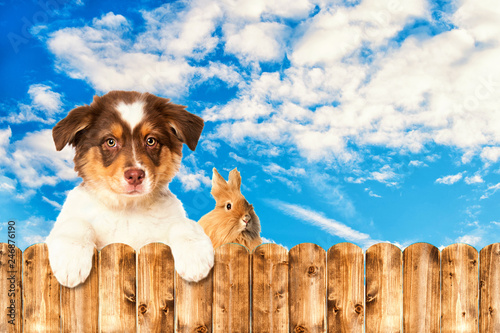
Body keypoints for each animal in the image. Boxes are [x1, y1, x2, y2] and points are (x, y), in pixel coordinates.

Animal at [44, 89, 213, 286]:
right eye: (110, 141)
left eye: (151, 141)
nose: (135, 176)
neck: (127, 209)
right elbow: (75, 223)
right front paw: (71, 261)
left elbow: (184, 223)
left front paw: (195, 258)